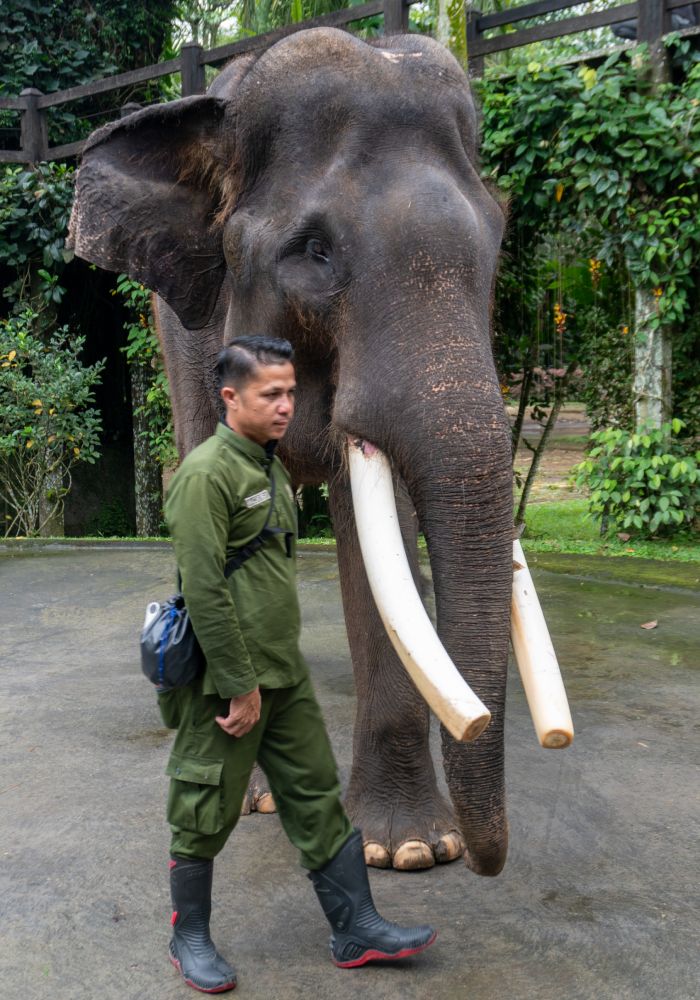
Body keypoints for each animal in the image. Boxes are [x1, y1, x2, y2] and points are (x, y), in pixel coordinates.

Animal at [69, 26, 512, 875]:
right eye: (315, 252)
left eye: (496, 245)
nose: (483, 860)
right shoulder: (200, 336)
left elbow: (381, 533)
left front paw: (409, 849)